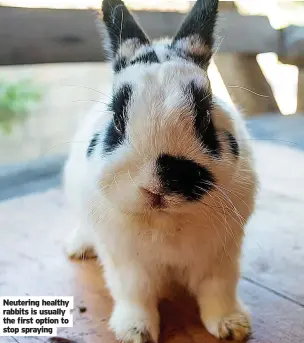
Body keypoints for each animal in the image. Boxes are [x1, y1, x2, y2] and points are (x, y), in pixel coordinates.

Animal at [63, 0, 258, 342]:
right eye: (117, 119)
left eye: (205, 117)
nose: (157, 187)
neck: (167, 222)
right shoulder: (126, 261)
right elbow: (135, 295)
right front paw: (134, 332)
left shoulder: (221, 256)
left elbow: (219, 290)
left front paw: (231, 326)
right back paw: (78, 248)